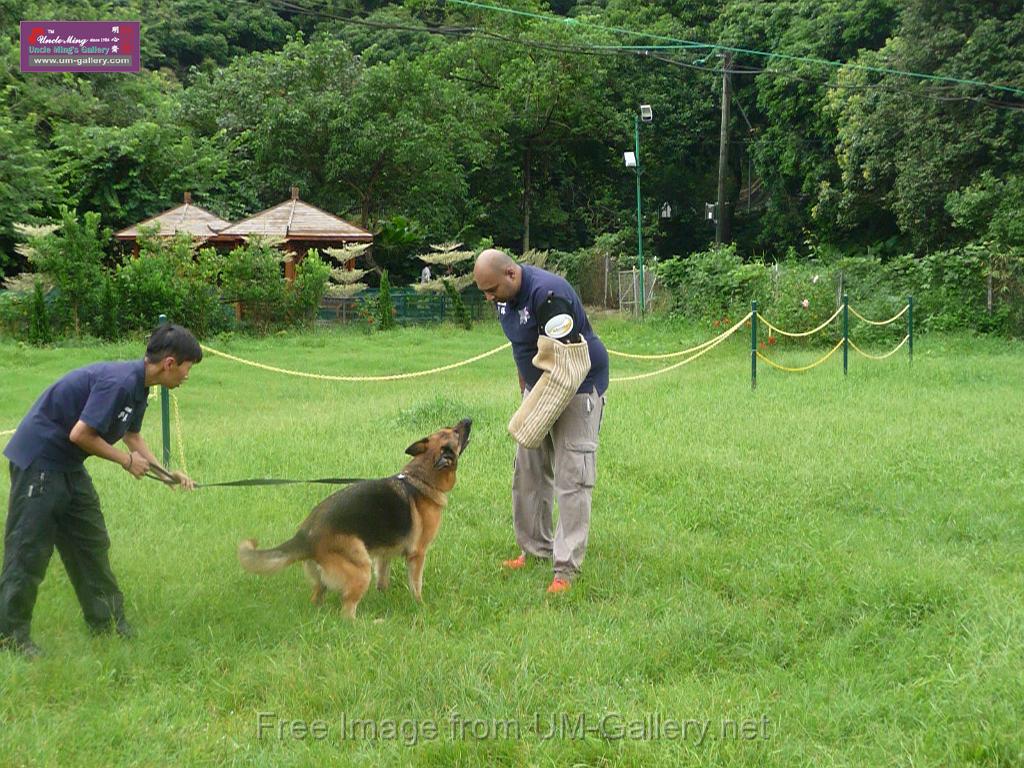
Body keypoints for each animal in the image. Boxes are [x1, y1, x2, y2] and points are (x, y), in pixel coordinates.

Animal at [237, 417, 468, 622]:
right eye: (455, 433)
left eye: (452, 428)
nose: (468, 419)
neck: (421, 478)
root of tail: (304, 535)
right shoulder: (417, 555)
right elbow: (416, 585)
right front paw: (420, 605)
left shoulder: (384, 554)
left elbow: (382, 579)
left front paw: (384, 597)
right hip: (361, 568)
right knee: (347, 615)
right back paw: (372, 623)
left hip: (329, 579)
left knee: (317, 598)